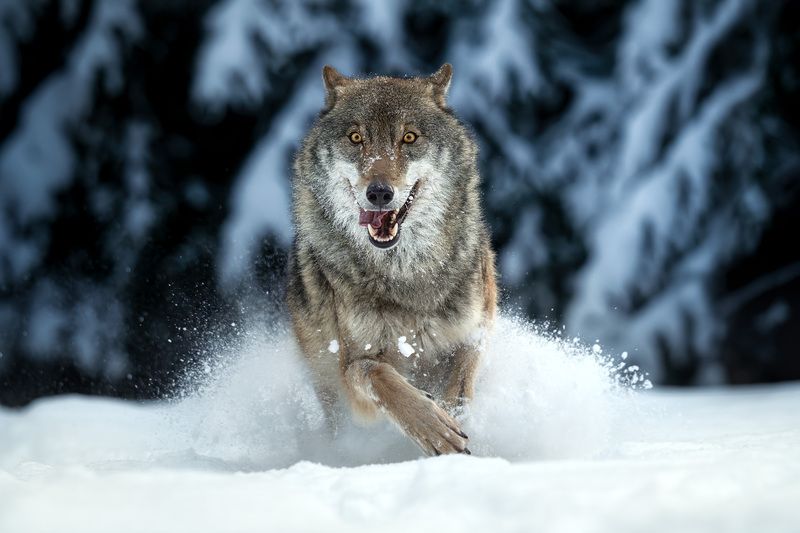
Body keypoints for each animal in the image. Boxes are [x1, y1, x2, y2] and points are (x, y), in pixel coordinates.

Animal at [287, 64, 497, 456]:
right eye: (356, 138)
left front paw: (453, 427)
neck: (406, 272)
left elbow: (459, 389)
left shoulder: (474, 334)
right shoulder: (352, 369)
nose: (380, 193)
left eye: (409, 138)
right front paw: (435, 428)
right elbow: (377, 376)